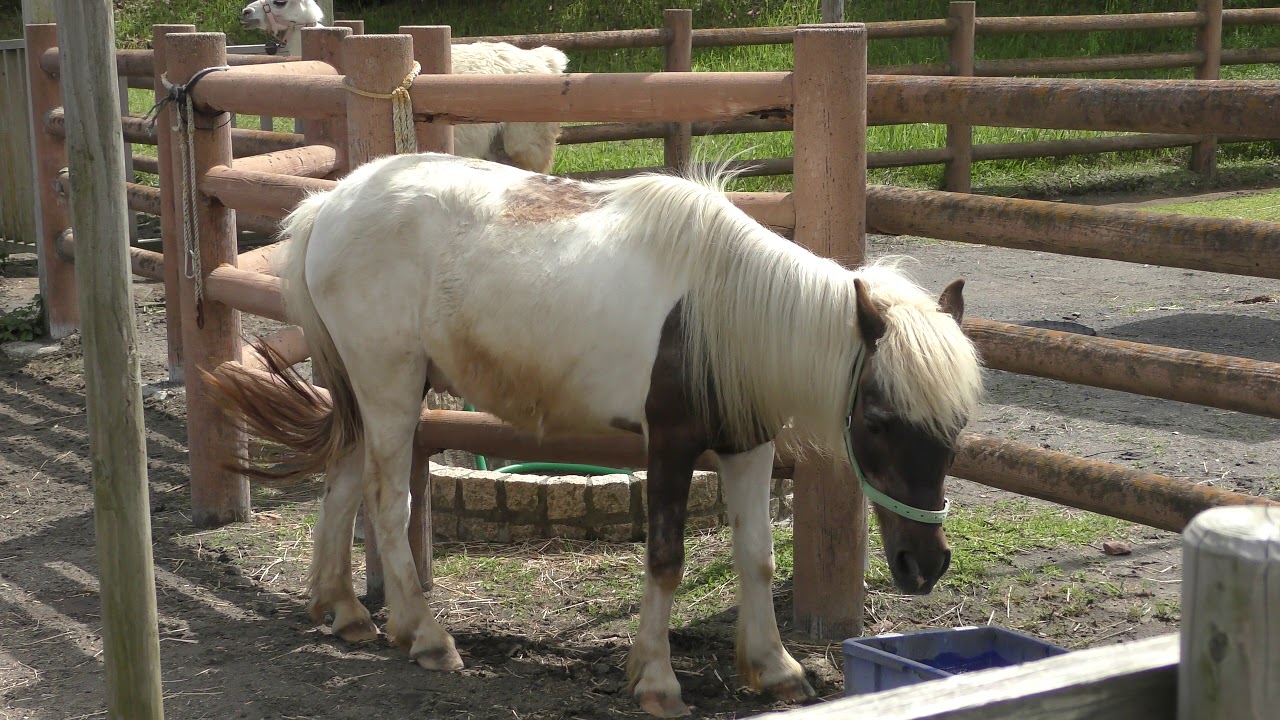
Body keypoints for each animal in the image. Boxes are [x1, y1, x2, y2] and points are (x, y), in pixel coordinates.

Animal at [204, 153, 984, 717]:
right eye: (878, 419)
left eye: (958, 423)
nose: (925, 565)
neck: (723, 311)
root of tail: (329, 205)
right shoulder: (670, 444)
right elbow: (665, 560)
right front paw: (657, 681)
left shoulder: (747, 445)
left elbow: (757, 557)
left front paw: (776, 667)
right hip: (390, 387)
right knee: (387, 503)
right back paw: (426, 638)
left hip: (378, 390)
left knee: (341, 481)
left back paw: (344, 612)